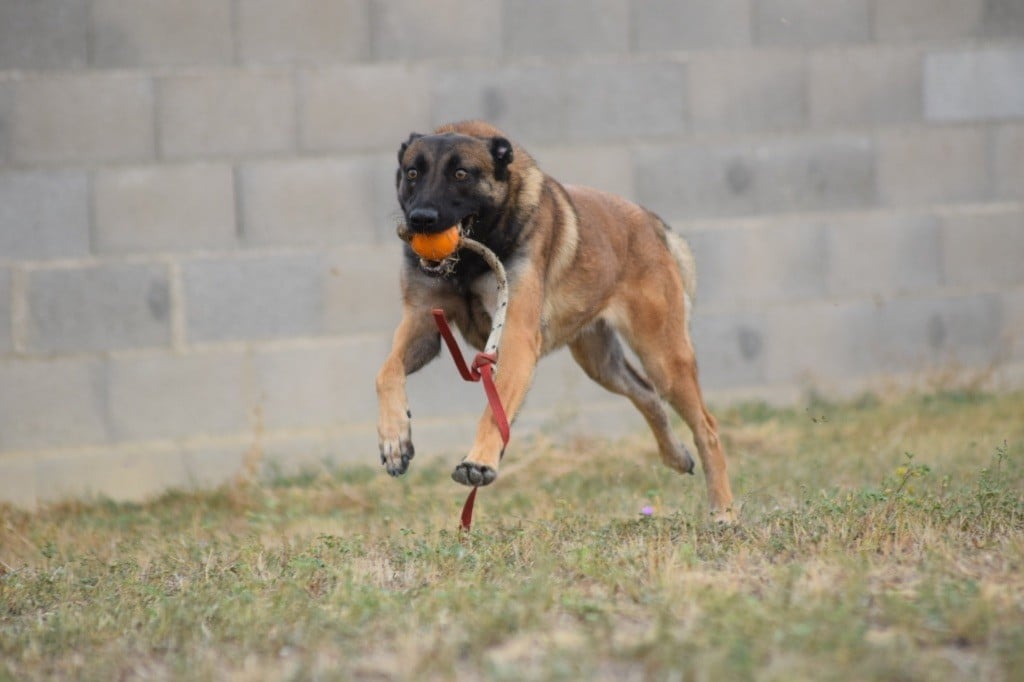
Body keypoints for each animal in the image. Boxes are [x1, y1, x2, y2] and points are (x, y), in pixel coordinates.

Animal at [376, 120, 737, 520]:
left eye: (460, 174)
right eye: (412, 173)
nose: (420, 220)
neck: (469, 260)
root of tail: (649, 221)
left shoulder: (516, 338)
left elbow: (495, 408)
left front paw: (480, 460)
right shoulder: (423, 327)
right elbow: (386, 372)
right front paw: (394, 439)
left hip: (663, 357)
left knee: (706, 426)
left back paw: (723, 511)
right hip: (601, 363)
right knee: (646, 394)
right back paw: (675, 456)